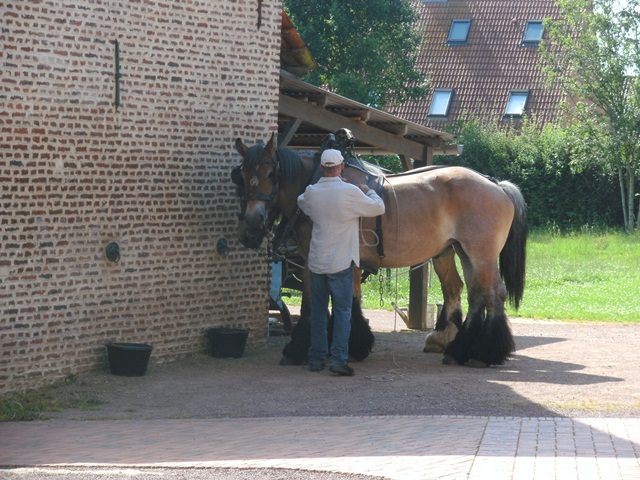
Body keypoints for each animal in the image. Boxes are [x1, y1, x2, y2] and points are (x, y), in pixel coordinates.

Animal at [232, 132, 528, 368]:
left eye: (271, 173)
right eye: (242, 175)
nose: (252, 224)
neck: (318, 182)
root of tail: (496, 184)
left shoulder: (333, 259)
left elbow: (338, 302)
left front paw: (345, 346)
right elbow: (325, 302)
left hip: (481, 254)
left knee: (493, 294)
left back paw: (483, 353)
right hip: (462, 251)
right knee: (476, 294)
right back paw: (459, 350)